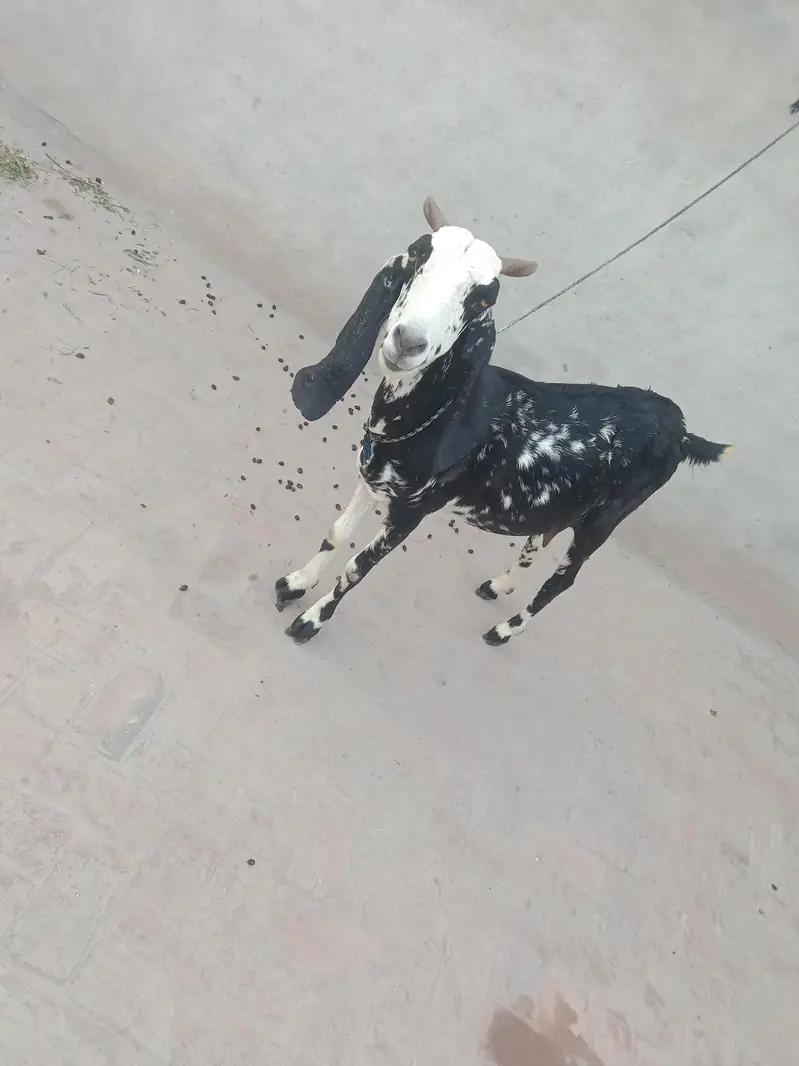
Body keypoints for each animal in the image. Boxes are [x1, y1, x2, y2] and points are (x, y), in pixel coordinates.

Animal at [277, 197, 730, 646]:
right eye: (418, 253)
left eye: (484, 300)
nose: (408, 343)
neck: (438, 417)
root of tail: (681, 429)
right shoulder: (373, 479)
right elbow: (338, 532)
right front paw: (296, 583)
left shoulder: (413, 510)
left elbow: (357, 567)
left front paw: (311, 621)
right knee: (539, 539)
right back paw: (499, 585)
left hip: (604, 520)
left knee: (563, 580)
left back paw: (506, 629)